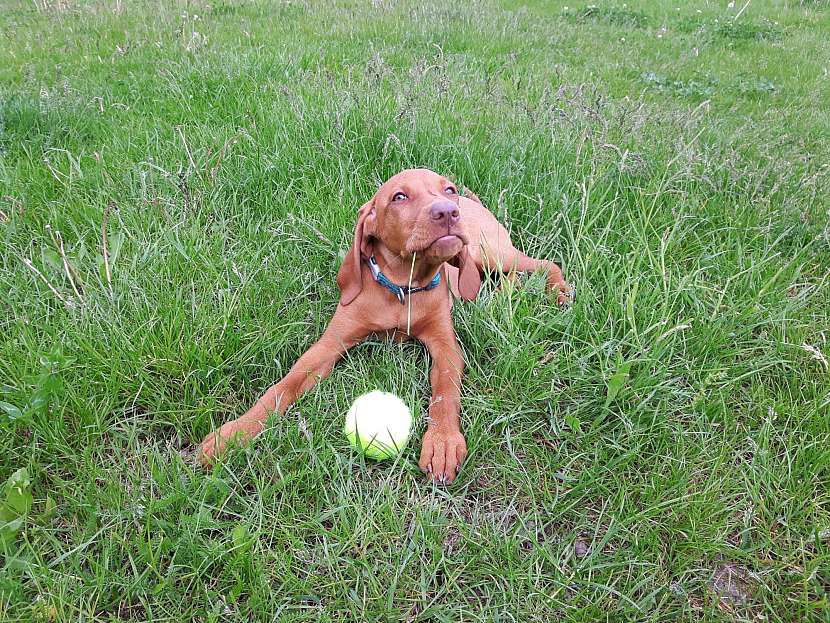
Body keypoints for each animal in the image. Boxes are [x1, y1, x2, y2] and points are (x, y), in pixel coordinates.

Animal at [200, 168, 572, 486]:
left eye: (447, 189)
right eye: (399, 197)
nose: (448, 212)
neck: (402, 289)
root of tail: (472, 202)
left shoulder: (446, 346)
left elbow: (445, 392)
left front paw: (442, 442)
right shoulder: (329, 344)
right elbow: (283, 387)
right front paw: (235, 433)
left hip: (488, 250)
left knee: (542, 264)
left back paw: (559, 293)